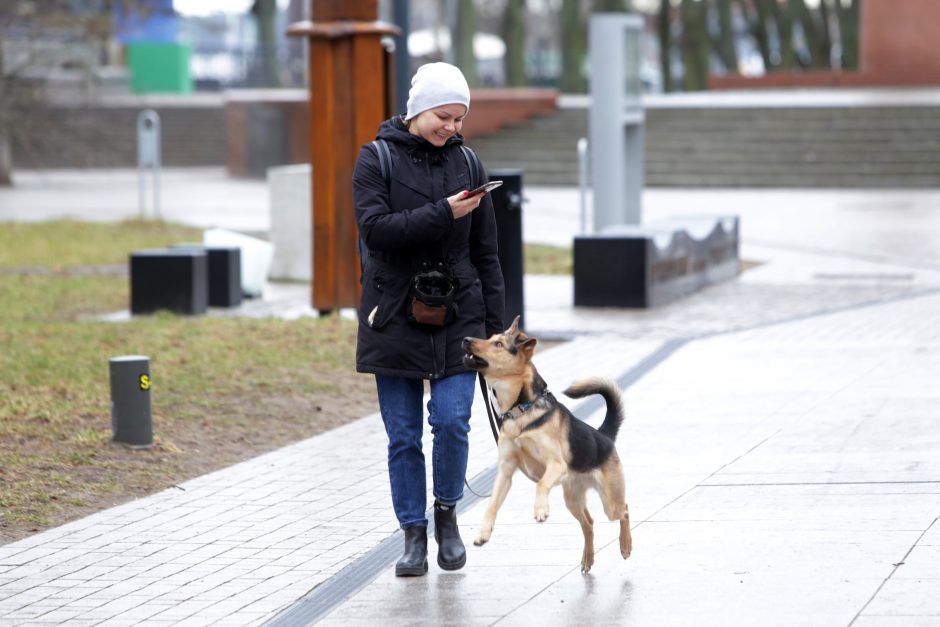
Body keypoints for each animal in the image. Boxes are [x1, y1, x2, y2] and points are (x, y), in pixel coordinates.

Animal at [462, 318, 632, 576]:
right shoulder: (506, 471)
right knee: (589, 523)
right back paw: (588, 559)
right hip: (572, 499)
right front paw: (483, 532)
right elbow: (491, 505)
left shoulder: (556, 464)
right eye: (489, 338)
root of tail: (604, 436)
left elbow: (541, 484)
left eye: (498, 344)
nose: (466, 339)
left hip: (610, 500)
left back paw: (625, 546)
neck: (521, 410)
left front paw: (540, 509)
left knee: (624, 510)